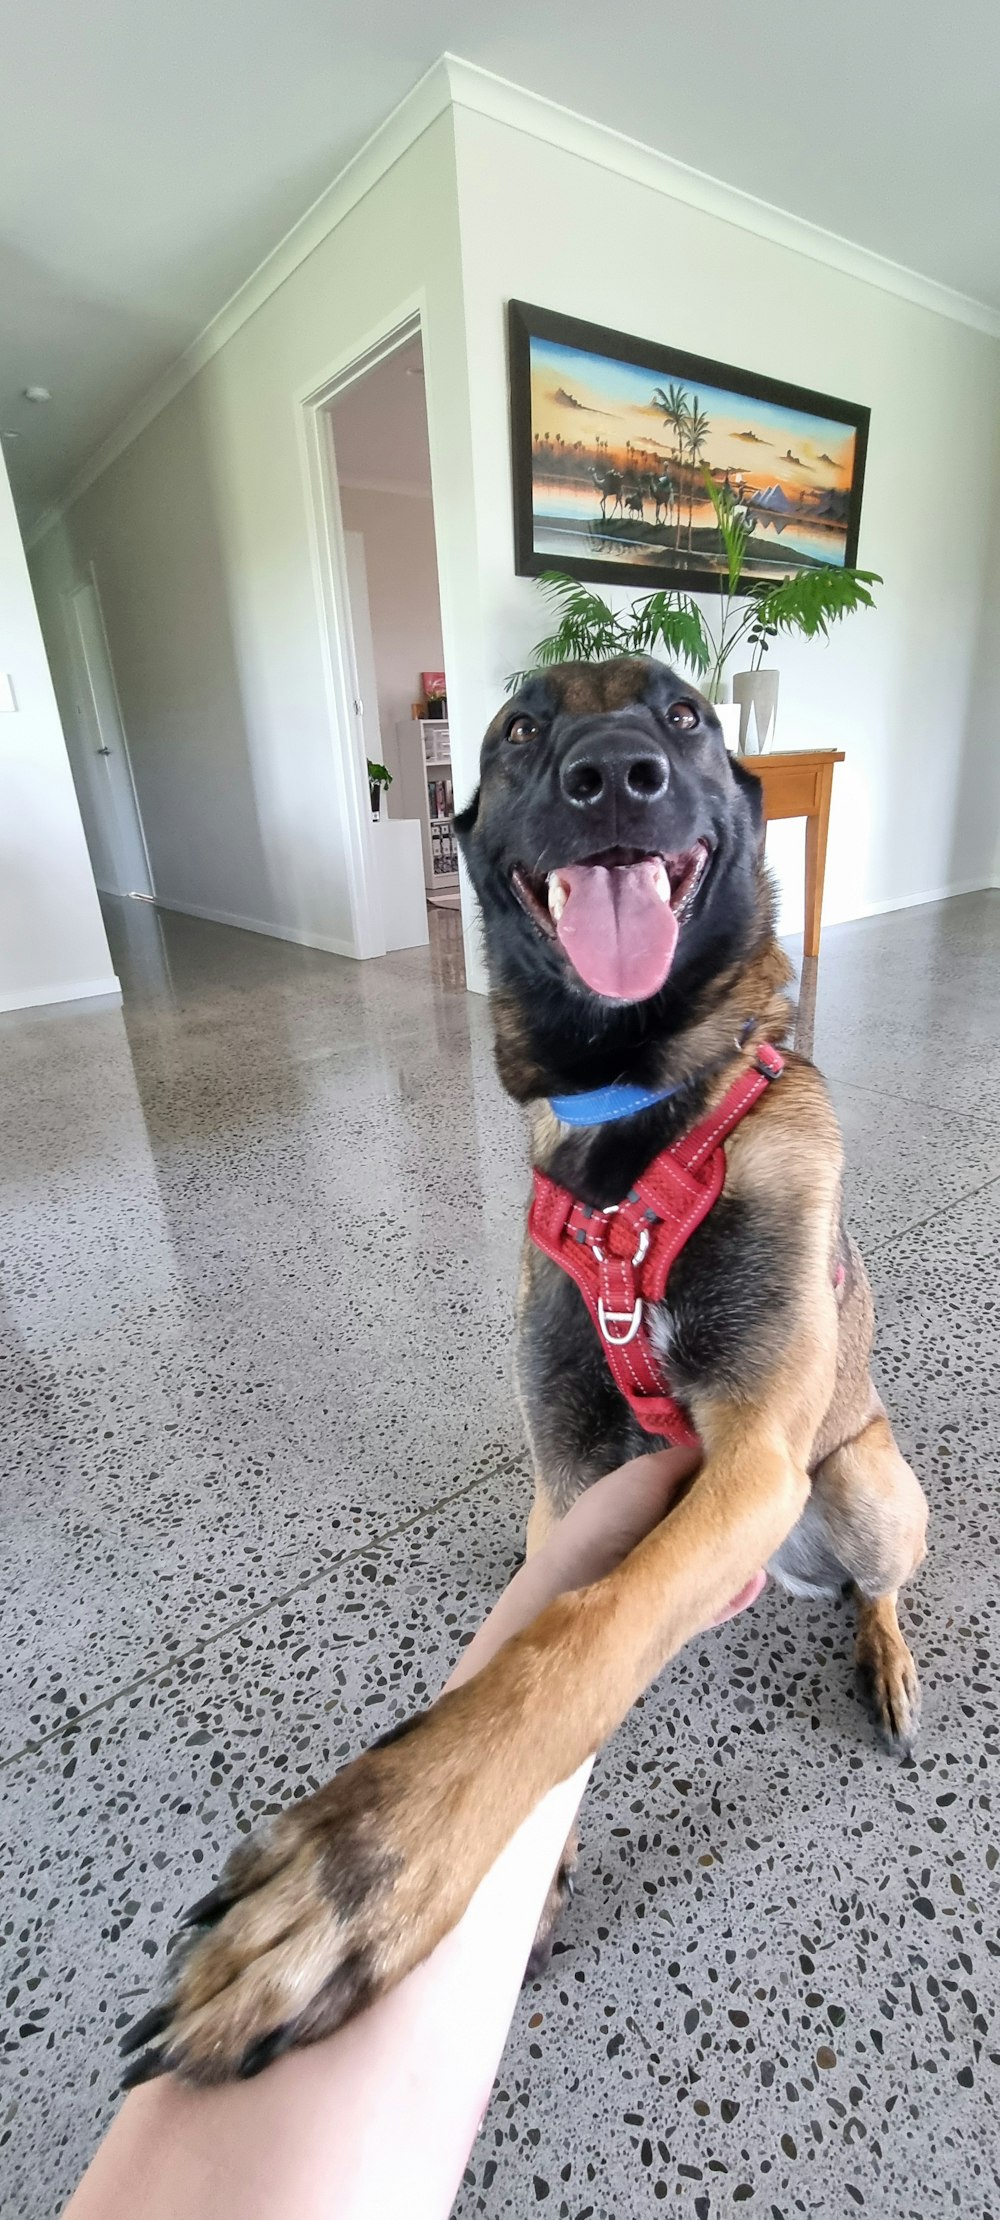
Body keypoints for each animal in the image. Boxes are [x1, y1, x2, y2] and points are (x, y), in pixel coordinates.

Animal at [122, 652, 928, 2077]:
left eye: (685, 714)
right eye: (517, 730)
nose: (612, 776)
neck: (640, 1119)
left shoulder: (748, 1461)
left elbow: (576, 1644)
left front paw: (363, 1870)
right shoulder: (574, 1475)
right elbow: (553, 1624)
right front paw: (517, 1871)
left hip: (862, 1483)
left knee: (882, 1586)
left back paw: (884, 1658)